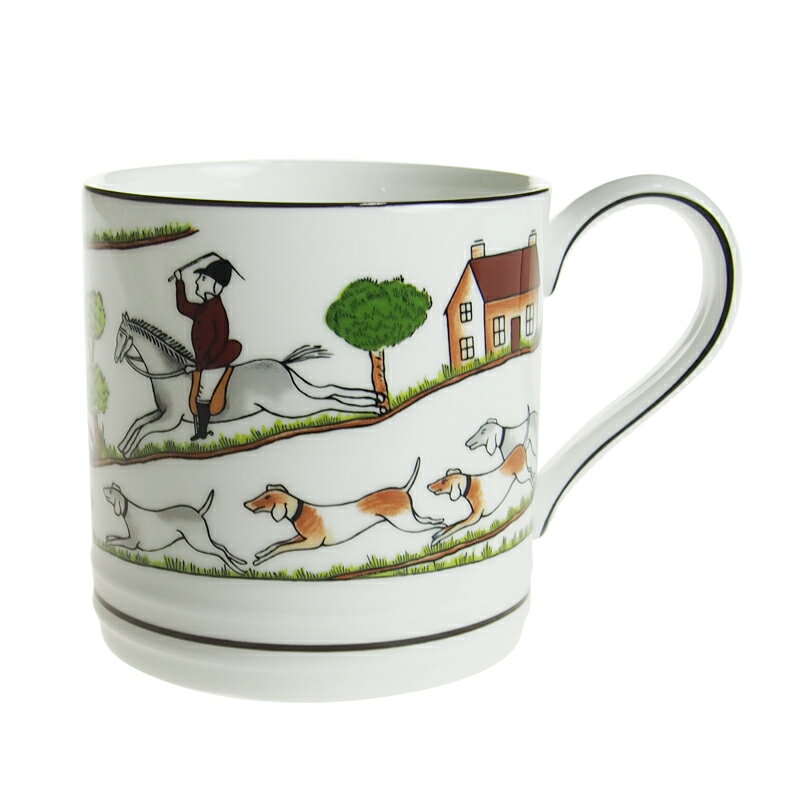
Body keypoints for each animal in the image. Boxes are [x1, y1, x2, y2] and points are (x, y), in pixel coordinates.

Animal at [102, 483, 247, 574]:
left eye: (110, 491)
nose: (103, 488)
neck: (129, 512)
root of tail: (198, 512)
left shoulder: (132, 543)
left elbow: (117, 541)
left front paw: (109, 543)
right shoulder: (129, 539)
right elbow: (115, 537)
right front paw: (108, 538)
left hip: (198, 542)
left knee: (220, 551)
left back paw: (238, 570)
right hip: (203, 538)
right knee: (222, 546)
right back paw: (241, 562)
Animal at [113, 313, 383, 458]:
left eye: (121, 336)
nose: (115, 359)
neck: (169, 375)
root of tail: (281, 364)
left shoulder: (171, 419)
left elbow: (145, 429)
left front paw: (127, 450)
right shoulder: (160, 413)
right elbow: (138, 423)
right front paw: (123, 446)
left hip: (290, 405)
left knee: (327, 404)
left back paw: (370, 409)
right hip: (300, 390)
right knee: (330, 390)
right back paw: (375, 400)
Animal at [243, 458, 444, 566]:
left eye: (266, 497)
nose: (246, 503)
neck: (300, 511)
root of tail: (402, 489)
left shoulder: (311, 543)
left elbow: (282, 548)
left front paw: (260, 561)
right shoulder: (301, 537)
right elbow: (278, 543)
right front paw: (261, 553)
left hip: (404, 522)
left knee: (426, 525)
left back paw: (441, 529)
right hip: (410, 516)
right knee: (427, 519)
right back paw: (440, 524)